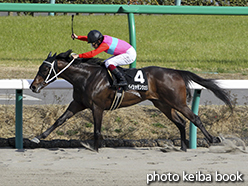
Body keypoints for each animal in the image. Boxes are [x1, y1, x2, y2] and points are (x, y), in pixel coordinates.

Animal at [30, 50, 232, 152]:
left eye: (43, 69)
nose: (33, 86)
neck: (87, 77)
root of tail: (177, 72)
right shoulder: (78, 104)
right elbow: (60, 120)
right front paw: (38, 137)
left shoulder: (97, 106)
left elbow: (97, 130)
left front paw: (95, 149)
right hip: (163, 104)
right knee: (181, 123)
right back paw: (182, 148)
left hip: (177, 102)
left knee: (194, 118)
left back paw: (213, 139)